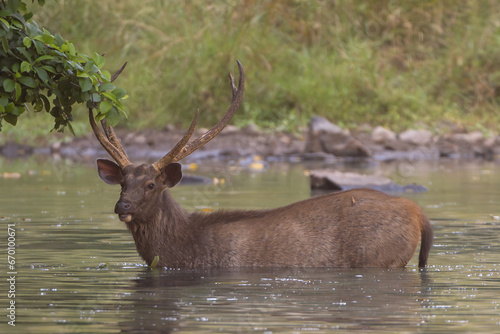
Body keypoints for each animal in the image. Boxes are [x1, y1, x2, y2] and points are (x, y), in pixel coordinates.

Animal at [91, 60, 434, 268]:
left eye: (151, 184)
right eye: (123, 182)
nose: (123, 205)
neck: (183, 248)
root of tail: (417, 213)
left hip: (383, 258)